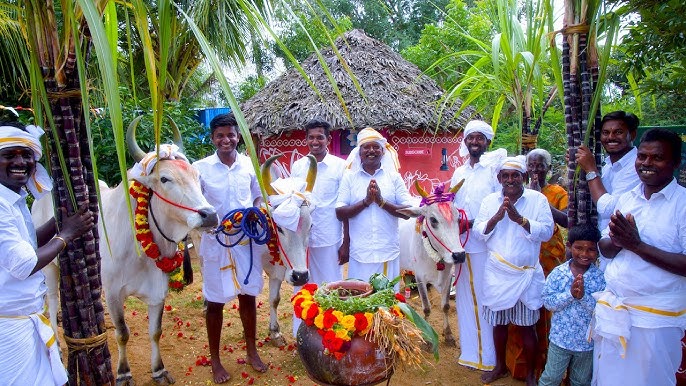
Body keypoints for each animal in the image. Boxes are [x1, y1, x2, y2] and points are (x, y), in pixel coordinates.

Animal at [400, 181, 470, 346]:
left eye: (458, 218)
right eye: (433, 220)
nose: (459, 255)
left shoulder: (448, 275)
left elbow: (445, 306)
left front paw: (448, 334)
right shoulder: (419, 277)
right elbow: (426, 307)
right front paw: (427, 337)